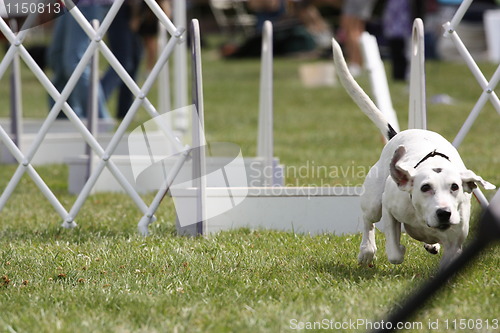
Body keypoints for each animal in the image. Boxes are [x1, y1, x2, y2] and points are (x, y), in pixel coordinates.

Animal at [332, 38, 496, 268]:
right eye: (425, 187)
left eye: (454, 187)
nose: (444, 213)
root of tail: (397, 134)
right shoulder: (390, 208)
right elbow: (394, 251)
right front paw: (397, 248)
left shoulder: (455, 243)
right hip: (373, 200)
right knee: (368, 221)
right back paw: (366, 251)